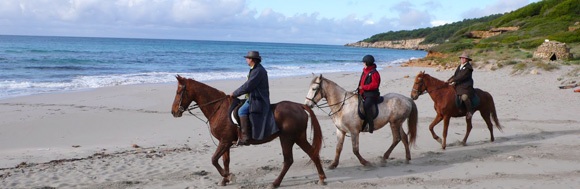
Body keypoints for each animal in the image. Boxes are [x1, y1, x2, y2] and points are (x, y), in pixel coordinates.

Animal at [171, 75, 326, 188]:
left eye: (179, 92)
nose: (173, 112)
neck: (218, 108)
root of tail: (299, 106)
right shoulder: (226, 142)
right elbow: (225, 161)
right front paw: (225, 180)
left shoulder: (224, 141)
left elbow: (214, 160)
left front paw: (229, 176)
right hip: (298, 137)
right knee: (312, 153)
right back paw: (321, 178)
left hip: (287, 139)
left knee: (288, 161)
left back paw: (275, 183)